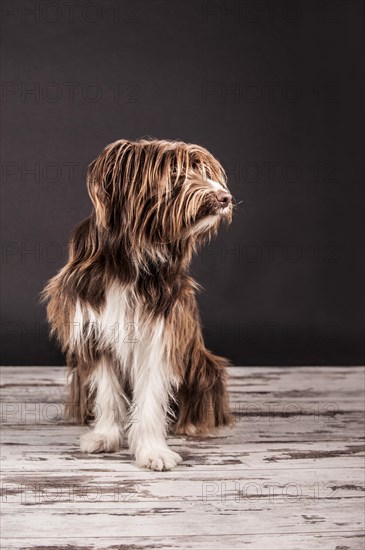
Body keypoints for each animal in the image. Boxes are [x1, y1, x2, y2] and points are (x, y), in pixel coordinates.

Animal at [44, 140, 233, 472]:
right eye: (175, 172)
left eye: (205, 171)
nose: (225, 197)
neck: (131, 258)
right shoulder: (94, 328)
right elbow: (107, 390)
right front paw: (105, 436)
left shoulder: (160, 332)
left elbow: (151, 395)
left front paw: (152, 450)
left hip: (202, 363)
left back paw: (192, 425)